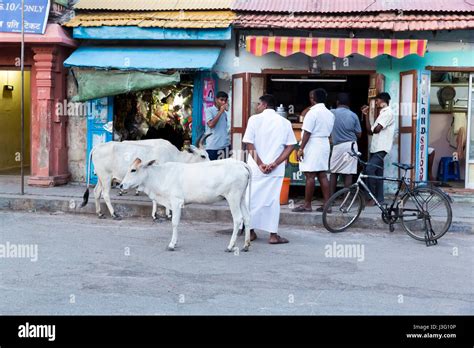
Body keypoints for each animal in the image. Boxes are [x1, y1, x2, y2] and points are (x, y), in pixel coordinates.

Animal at [81, 137, 209, 220]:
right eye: (203, 156)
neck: (175, 156)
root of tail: (97, 147)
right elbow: (156, 199)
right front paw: (156, 215)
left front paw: (167, 214)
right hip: (106, 177)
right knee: (105, 194)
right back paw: (114, 214)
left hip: (101, 178)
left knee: (96, 192)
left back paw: (100, 213)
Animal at [118, 158, 252, 253]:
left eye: (133, 170)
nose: (121, 185)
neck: (160, 176)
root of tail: (241, 164)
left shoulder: (176, 202)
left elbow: (174, 223)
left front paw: (172, 244)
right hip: (241, 198)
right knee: (247, 218)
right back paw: (246, 245)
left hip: (233, 197)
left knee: (238, 219)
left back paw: (230, 246)